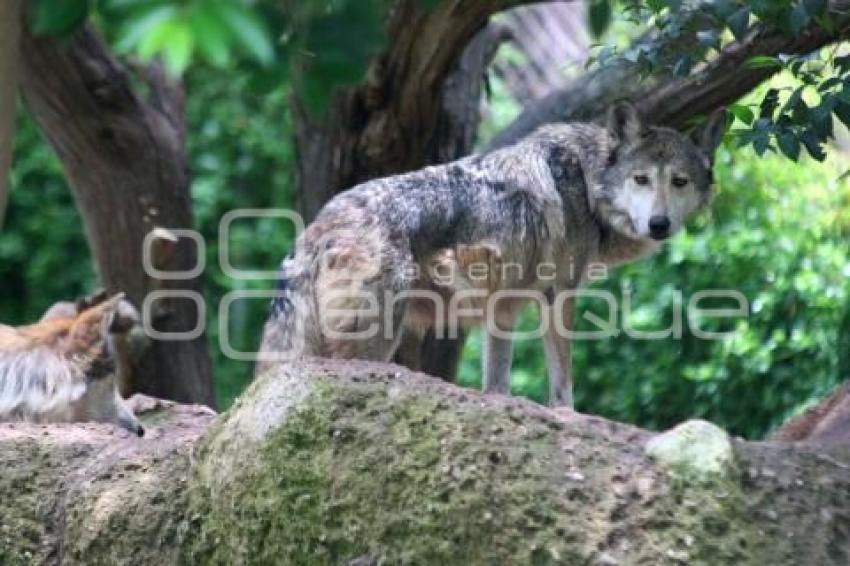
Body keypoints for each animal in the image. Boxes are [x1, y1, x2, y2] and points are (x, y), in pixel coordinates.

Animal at [258, 102, 724, 408]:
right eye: (641, 179)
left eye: (679, 181)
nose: (659, 224)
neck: (587, 185)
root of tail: (321, 223)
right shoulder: (559, 295)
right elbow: (562, 381)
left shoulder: (504, 307)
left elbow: (496, 381)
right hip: (373, 341)